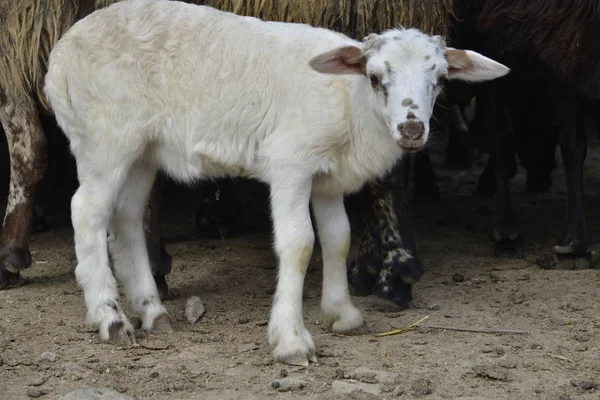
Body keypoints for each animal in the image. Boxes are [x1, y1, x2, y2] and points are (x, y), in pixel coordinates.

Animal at [44, 0, 508, 366]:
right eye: (376, 78)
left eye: (441, 80)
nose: (412, 130)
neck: (349, 101)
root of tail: (58, 60)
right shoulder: (291, 163)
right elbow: (300, 244)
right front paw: (291, 339)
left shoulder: (328, 179)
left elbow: (338, 239)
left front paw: (342, 314)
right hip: (104, 136)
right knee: (87, 212)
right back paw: (110, 318)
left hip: (143, 149)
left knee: (125, 217)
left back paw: (152, 311)